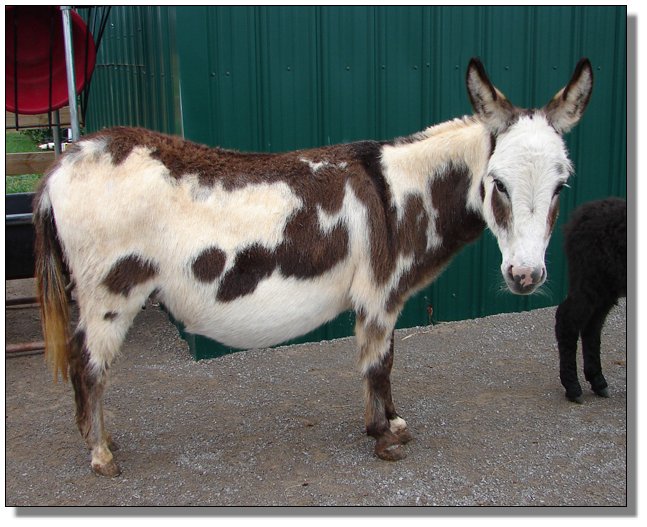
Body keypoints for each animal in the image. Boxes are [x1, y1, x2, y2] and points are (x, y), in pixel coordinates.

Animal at [34, 57, 593, 476]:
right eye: (498, 184)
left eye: (561, 186)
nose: (525, 277)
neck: (400, 194)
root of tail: (64, 161)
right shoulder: (379, 293)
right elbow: (378, 363)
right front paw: (383, 437)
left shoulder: (381, 299)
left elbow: (383, 359)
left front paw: (391, 422)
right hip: (109, 295)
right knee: (89, 367)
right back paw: (101, 454)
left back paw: (103, 442)